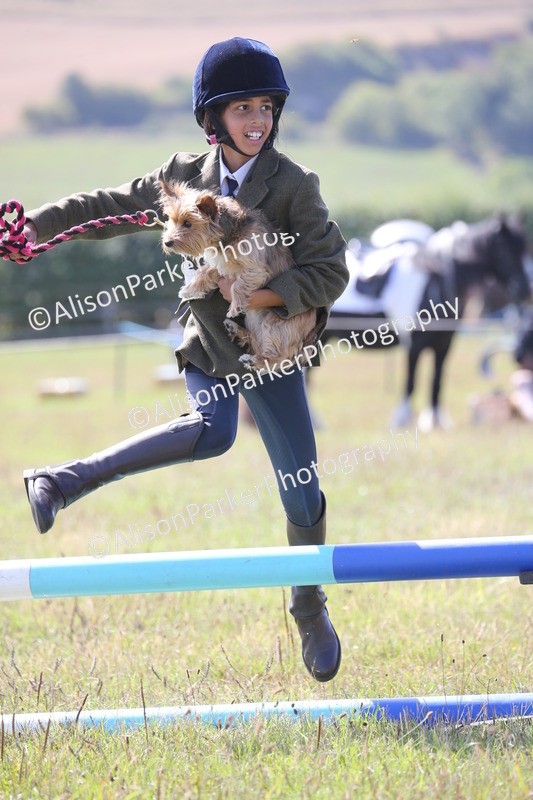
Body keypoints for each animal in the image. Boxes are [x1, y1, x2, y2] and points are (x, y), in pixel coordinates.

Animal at [323, 215, 532, 430]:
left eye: (524, 248)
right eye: (504, 250)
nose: (525, 289)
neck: (435, 282)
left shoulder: (444, 344)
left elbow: (436, 381)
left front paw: (436, 420)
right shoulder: (414, 346)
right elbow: (410, 382)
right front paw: (402, 420)